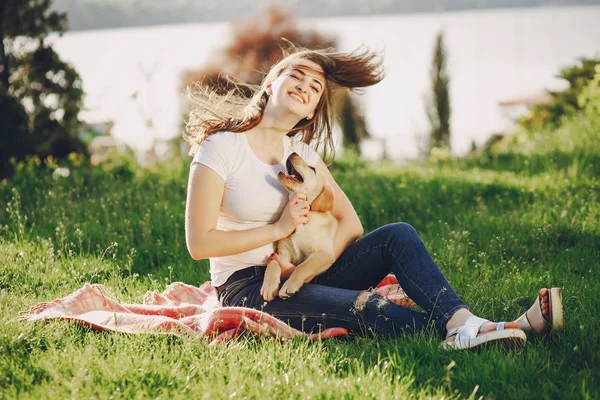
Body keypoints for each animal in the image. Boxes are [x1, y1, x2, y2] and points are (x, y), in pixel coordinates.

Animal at [262, 152, 340, 300]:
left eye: (313, 169)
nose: (293, 153)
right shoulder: (284, 252)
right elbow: (274, 262)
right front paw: (269, 285)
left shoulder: (324, 254)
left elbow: (303, 266)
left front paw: (289, 286)